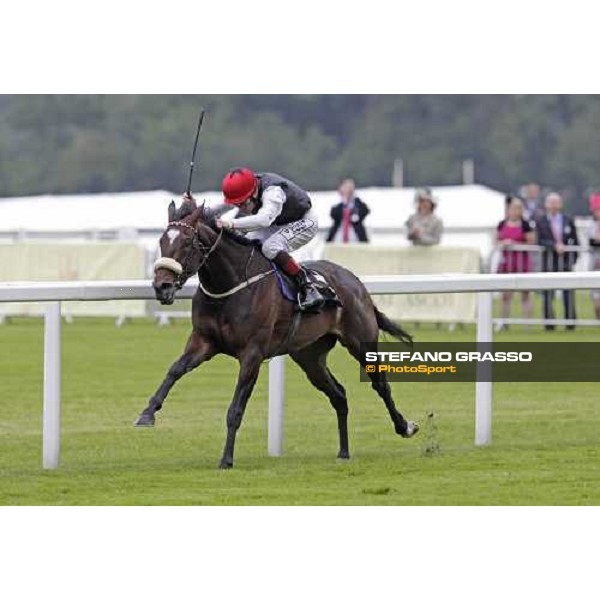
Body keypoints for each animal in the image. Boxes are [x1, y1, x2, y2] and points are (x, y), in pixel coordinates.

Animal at [135, 202, 418, 468]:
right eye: (161, 241)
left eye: (186, 242)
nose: (162, 286)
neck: (230, 286)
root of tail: (355, 281)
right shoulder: (203, 342)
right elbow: (175, 370)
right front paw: (147, 413)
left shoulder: (252, 354)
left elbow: (235, 409)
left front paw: (226, 459)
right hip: (309, 356)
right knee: (338, 394)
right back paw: (344, 451)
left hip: (361, 342)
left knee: (380, 384)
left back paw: (404, 426)